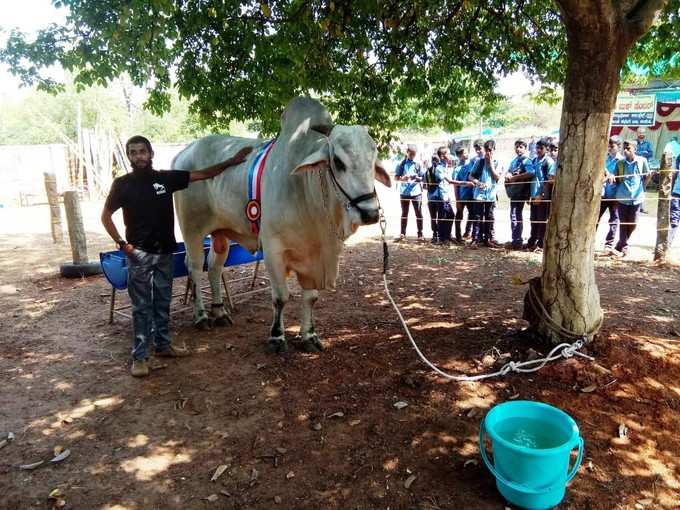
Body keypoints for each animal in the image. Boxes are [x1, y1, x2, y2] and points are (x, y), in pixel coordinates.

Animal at [173, 95, 390, 352]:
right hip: (192, 230)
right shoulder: (273, 250)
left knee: (214, 266)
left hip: (220, 234)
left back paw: (220, 312)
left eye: (373, 161)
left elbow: (311, 297)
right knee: (195, 267)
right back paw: (201, 316)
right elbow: (280, 297)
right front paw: (277, 336)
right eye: (338, 162)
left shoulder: (314, 256)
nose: (370, 213)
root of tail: (184, 151)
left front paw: (309, 336)